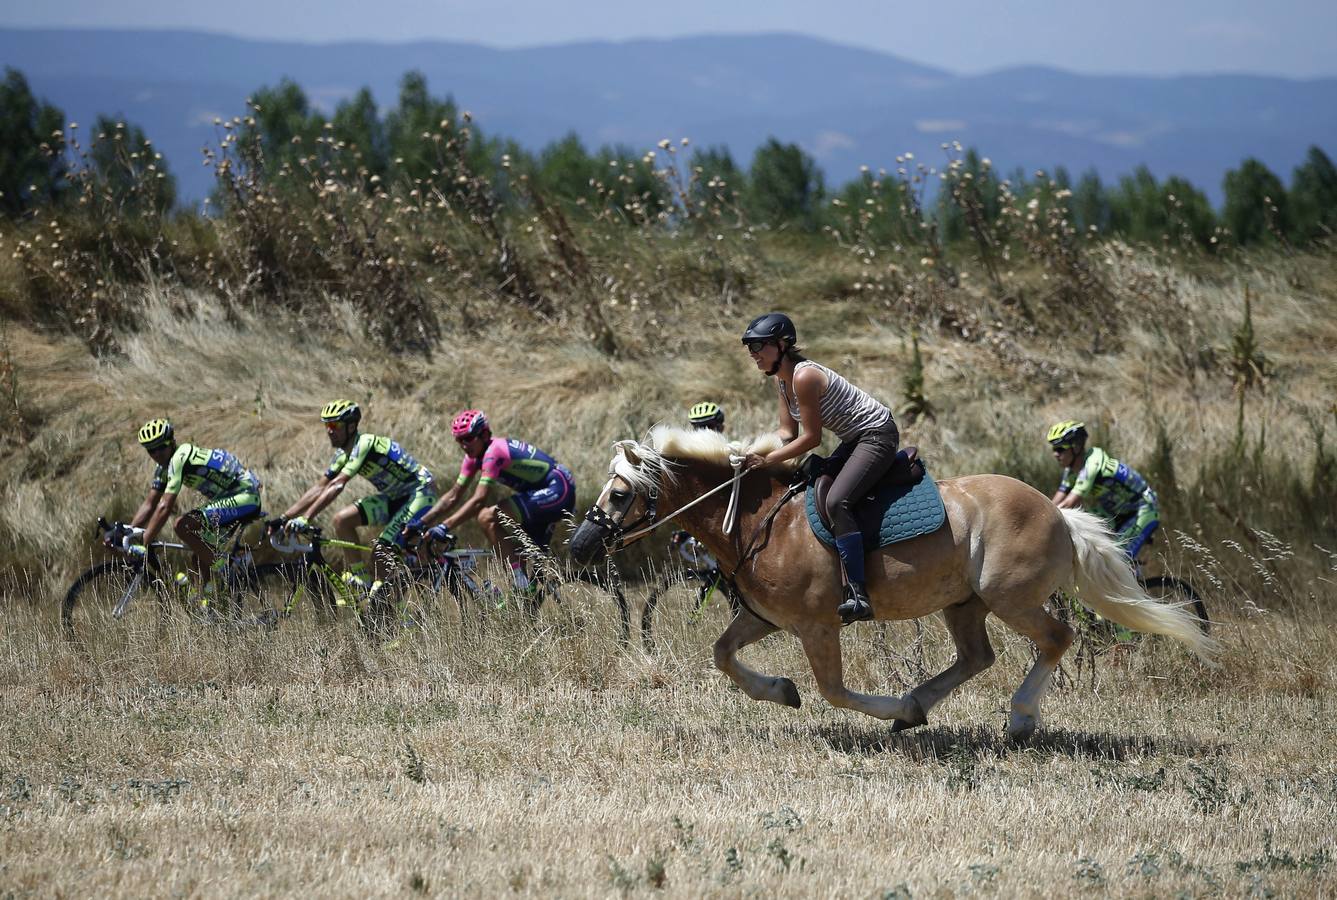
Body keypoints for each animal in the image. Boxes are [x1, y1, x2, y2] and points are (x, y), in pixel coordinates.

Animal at [569, 425, 1219, 738]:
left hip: (1009, 596)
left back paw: (1017, 719)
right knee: (976, 656)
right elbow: (723, 654)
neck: (761, 519)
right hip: (965, 603)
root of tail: (1059, 514)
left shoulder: (816, 626)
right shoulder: (763, 617)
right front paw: (781, 691)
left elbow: (833, 690)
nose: (579, 547)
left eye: (620, 494)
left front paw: (876, 708)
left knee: (1056, 639)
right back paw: (917, 708)